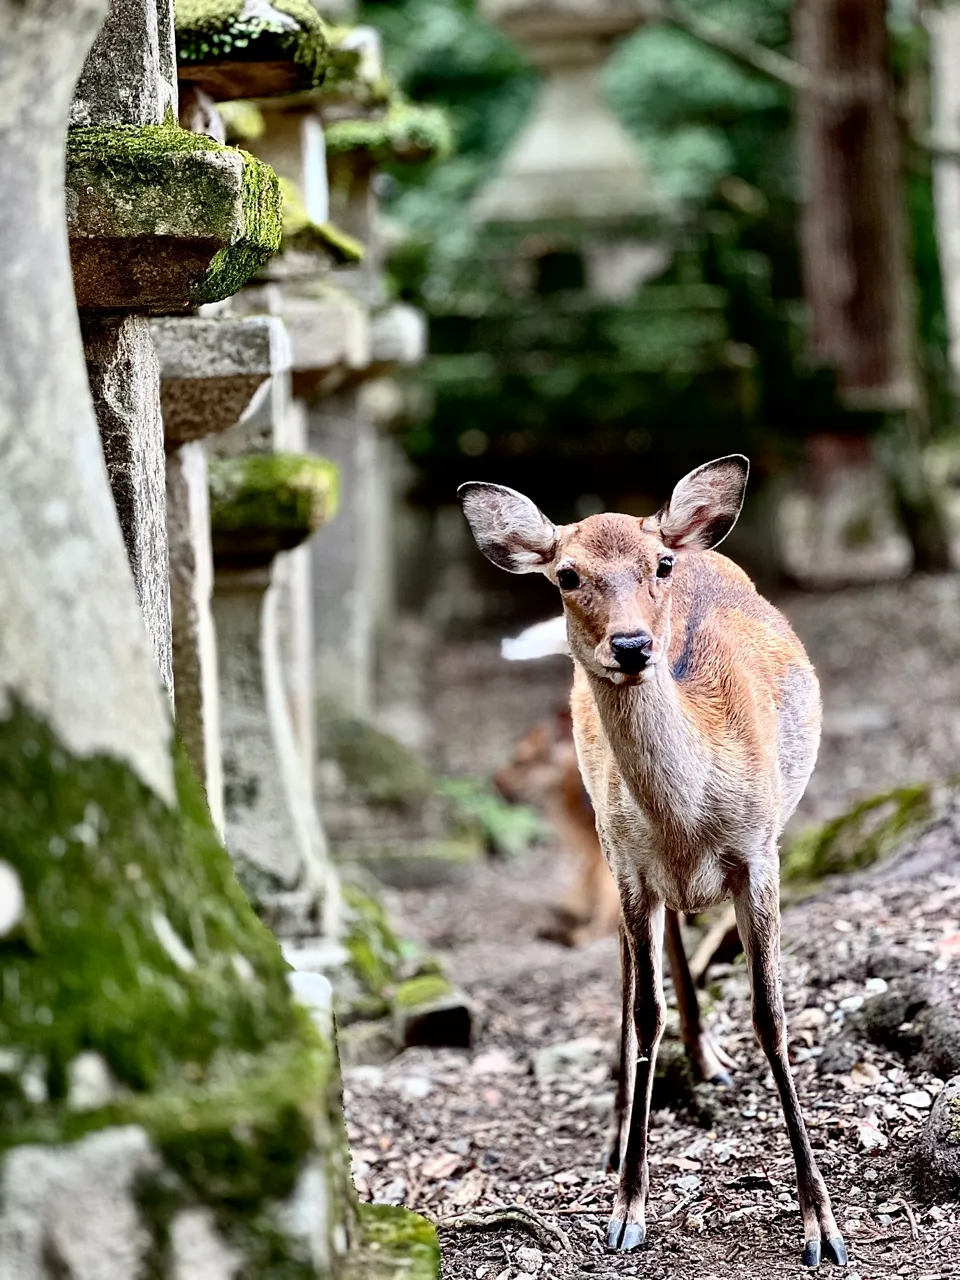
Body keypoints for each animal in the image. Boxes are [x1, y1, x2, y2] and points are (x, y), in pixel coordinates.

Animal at [459, 456, 846, 1268]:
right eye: (568, 575)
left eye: (658, 566)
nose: (633, 645)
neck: (688, 819)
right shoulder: (629, 867)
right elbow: (643, 1012)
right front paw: (625, 1210)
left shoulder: (760, 852)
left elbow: (770, 1014)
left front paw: (823, 1228)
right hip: (618, 857)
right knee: (634, 978)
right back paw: (621, 1129)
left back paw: (709, 1059)